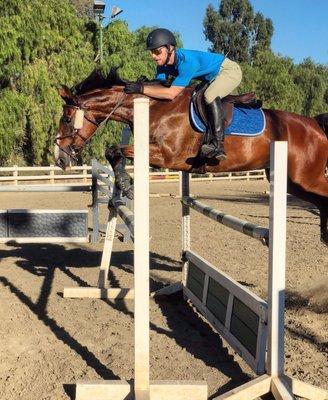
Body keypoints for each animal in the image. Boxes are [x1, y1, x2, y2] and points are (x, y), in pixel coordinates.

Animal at [55, 68, 326, 247]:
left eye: (67, 119)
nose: (60, 159)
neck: (155, 107)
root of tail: (314, 124)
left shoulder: (168, 156)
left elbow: (115, 149)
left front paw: (125, 183)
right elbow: (113, 151)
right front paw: (125, 183)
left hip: (306, 177)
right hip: (293, 182)